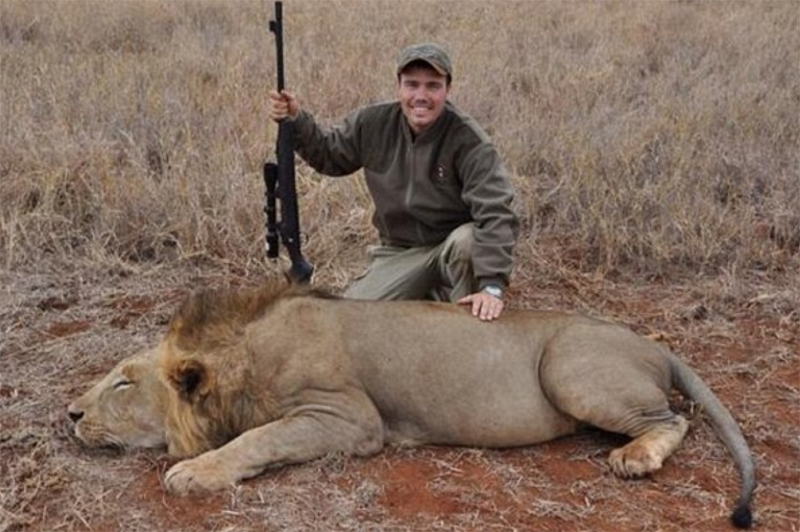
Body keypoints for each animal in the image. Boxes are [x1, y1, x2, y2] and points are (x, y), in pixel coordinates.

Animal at [70, 278, 756, 528]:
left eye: (124, 382)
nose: (70, 414)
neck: (244, 358)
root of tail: (652, 343)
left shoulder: (348, 417)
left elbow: (257, 438)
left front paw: (191, 471)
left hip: (569, 367)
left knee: (674, 418)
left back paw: (636, 457)